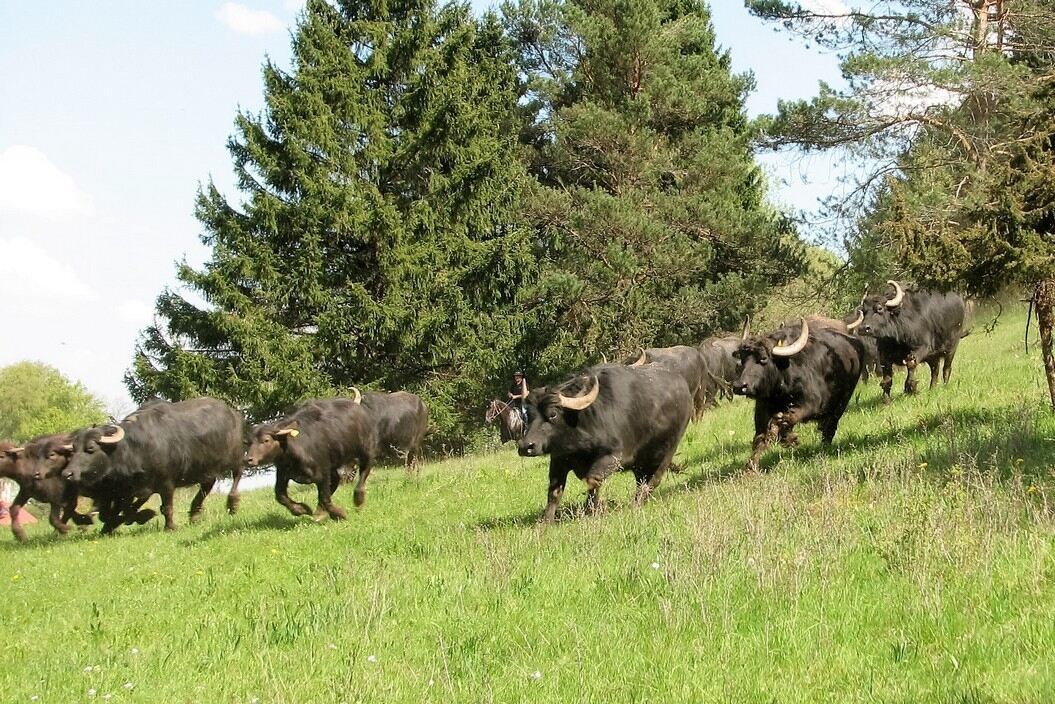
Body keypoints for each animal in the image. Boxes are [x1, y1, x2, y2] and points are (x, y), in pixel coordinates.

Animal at [62, 398, 244, 531]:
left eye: (90, 448)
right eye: (73, 449)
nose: (67, 474)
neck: (135, 448)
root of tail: (232, 413)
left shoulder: (166, 483)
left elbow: (166, 507)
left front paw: (169, 526)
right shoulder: (130, 489)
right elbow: (123, 510)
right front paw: (130, 519)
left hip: (234, 456)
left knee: (237, 473)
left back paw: (232, 503)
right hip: (206, 468)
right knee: (207, 486)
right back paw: (194, 515)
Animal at [244, 398, 377, 521]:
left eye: (266, 440)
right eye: (249, 443)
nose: (248, 460)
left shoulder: (323, 472)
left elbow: (324, 497)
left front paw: (339, 514)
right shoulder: (283, 473)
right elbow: (280, 495)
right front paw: (302, 509)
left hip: (365, 450)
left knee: (364, 471)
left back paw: (358, 500)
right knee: (336, 480)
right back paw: (320, 512)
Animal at [516, 363, 692, 523]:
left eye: (552, 414)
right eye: (527, 415)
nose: (526, 447)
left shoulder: (615, 456)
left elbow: (592, 480)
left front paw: (592, 508)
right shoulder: (559, 460)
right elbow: (554, 492)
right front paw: (546, 522)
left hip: (668, 451)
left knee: (652, 481)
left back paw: (636, 504)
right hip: (641, 462)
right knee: (641, 479)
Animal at [734, 318, 865, 472]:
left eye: (764, 358)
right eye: (742, 359)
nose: (739, 386)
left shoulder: (813, 404)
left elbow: (788, 417)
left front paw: (791, 438)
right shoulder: (762, 410)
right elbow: (761, 438)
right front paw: (750, 468)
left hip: (842, 401)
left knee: (830, 426)